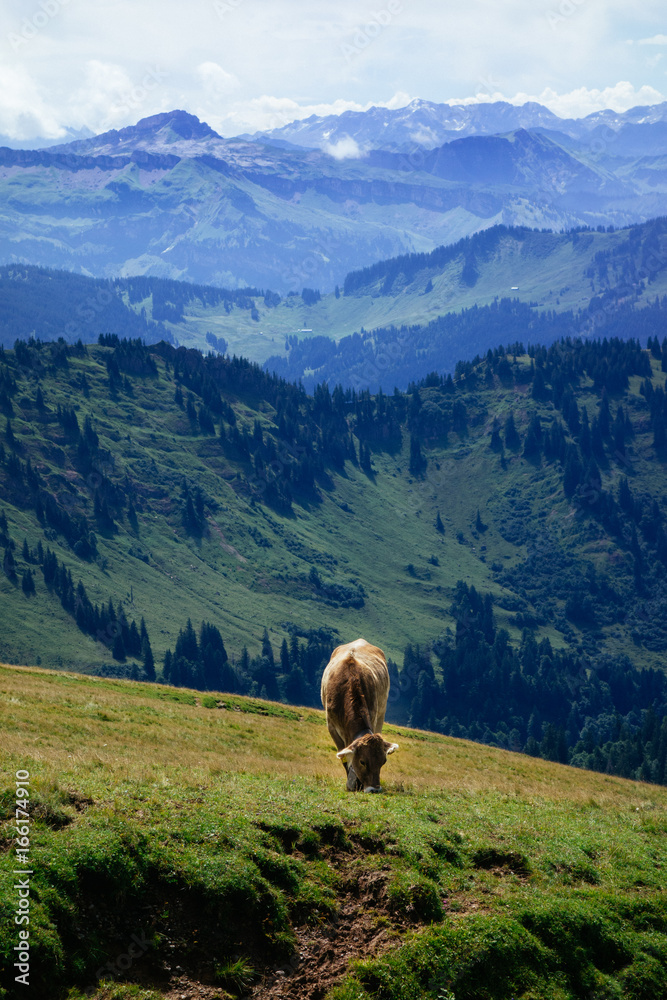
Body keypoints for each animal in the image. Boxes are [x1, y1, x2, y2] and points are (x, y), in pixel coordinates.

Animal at [320, 636, 400, 792]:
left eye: (383, 761)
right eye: (363, 762)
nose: (374, 789)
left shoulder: (373, 716)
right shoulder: (331, 726)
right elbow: (344, 757)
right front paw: (352, 784)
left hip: (381, 714)